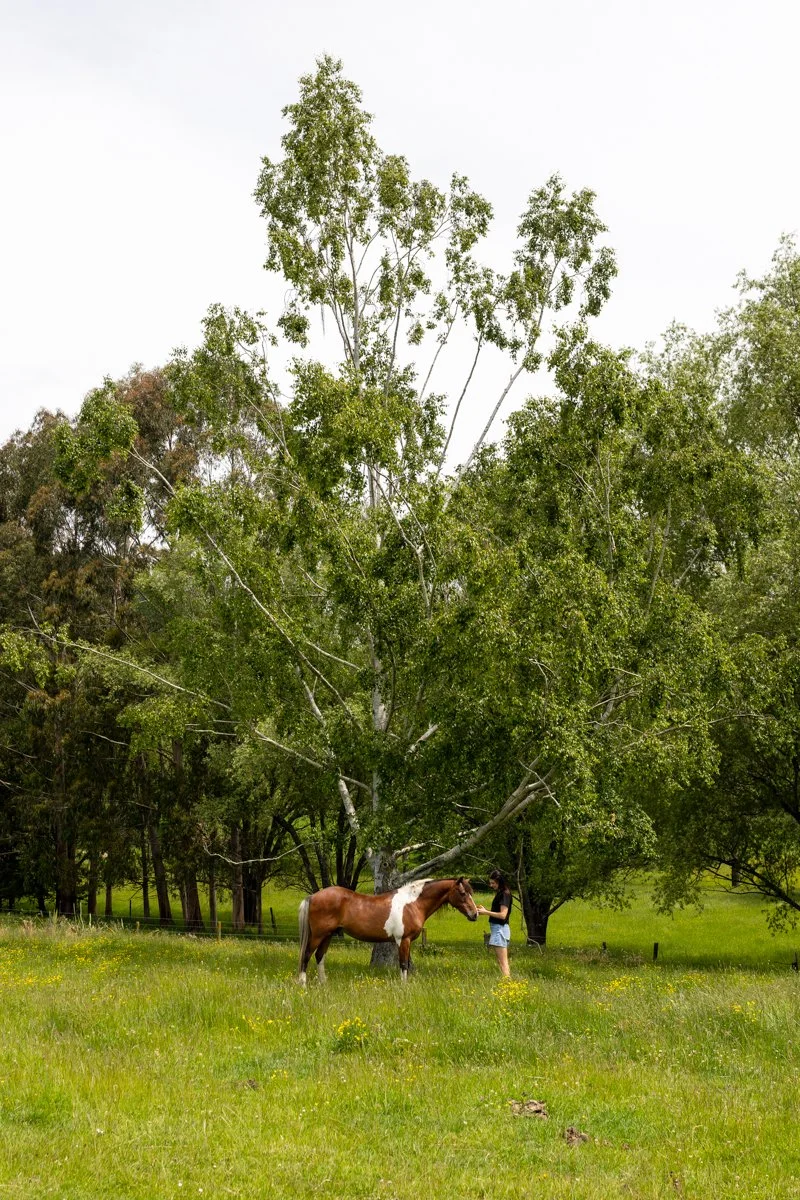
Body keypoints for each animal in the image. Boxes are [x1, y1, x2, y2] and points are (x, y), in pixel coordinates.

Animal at [297, 877, 479, 984]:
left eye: (470, 892)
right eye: (463, 892)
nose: (475, 914)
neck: (412, 904)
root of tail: (313, 896)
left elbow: (406, 964)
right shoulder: (403, 940)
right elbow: (403, 964)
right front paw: (404, 988)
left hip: (328, 935)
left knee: (320, 956)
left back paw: (324, 984)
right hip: (318, 935)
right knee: (306, 955)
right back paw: (303, 985)